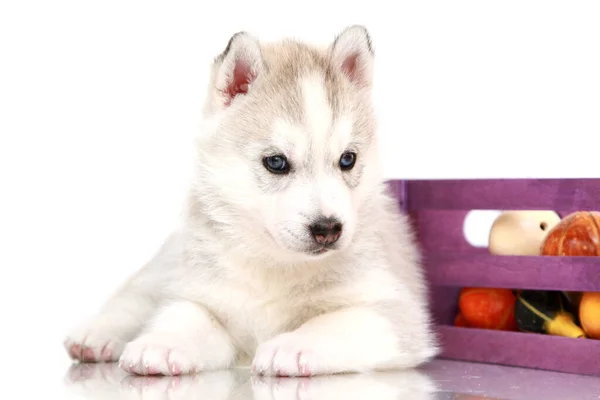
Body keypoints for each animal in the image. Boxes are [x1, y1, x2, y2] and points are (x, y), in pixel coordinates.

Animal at [65, 26, 438, 376]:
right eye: (276, 162)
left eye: (348, 159)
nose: (328, 229)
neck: (275, 265)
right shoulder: (203, 293)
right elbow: (187, 315)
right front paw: (162, 342)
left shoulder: (395, 312)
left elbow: (334, 321)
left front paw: (293, 345)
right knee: (138, 294)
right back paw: (96, 335)